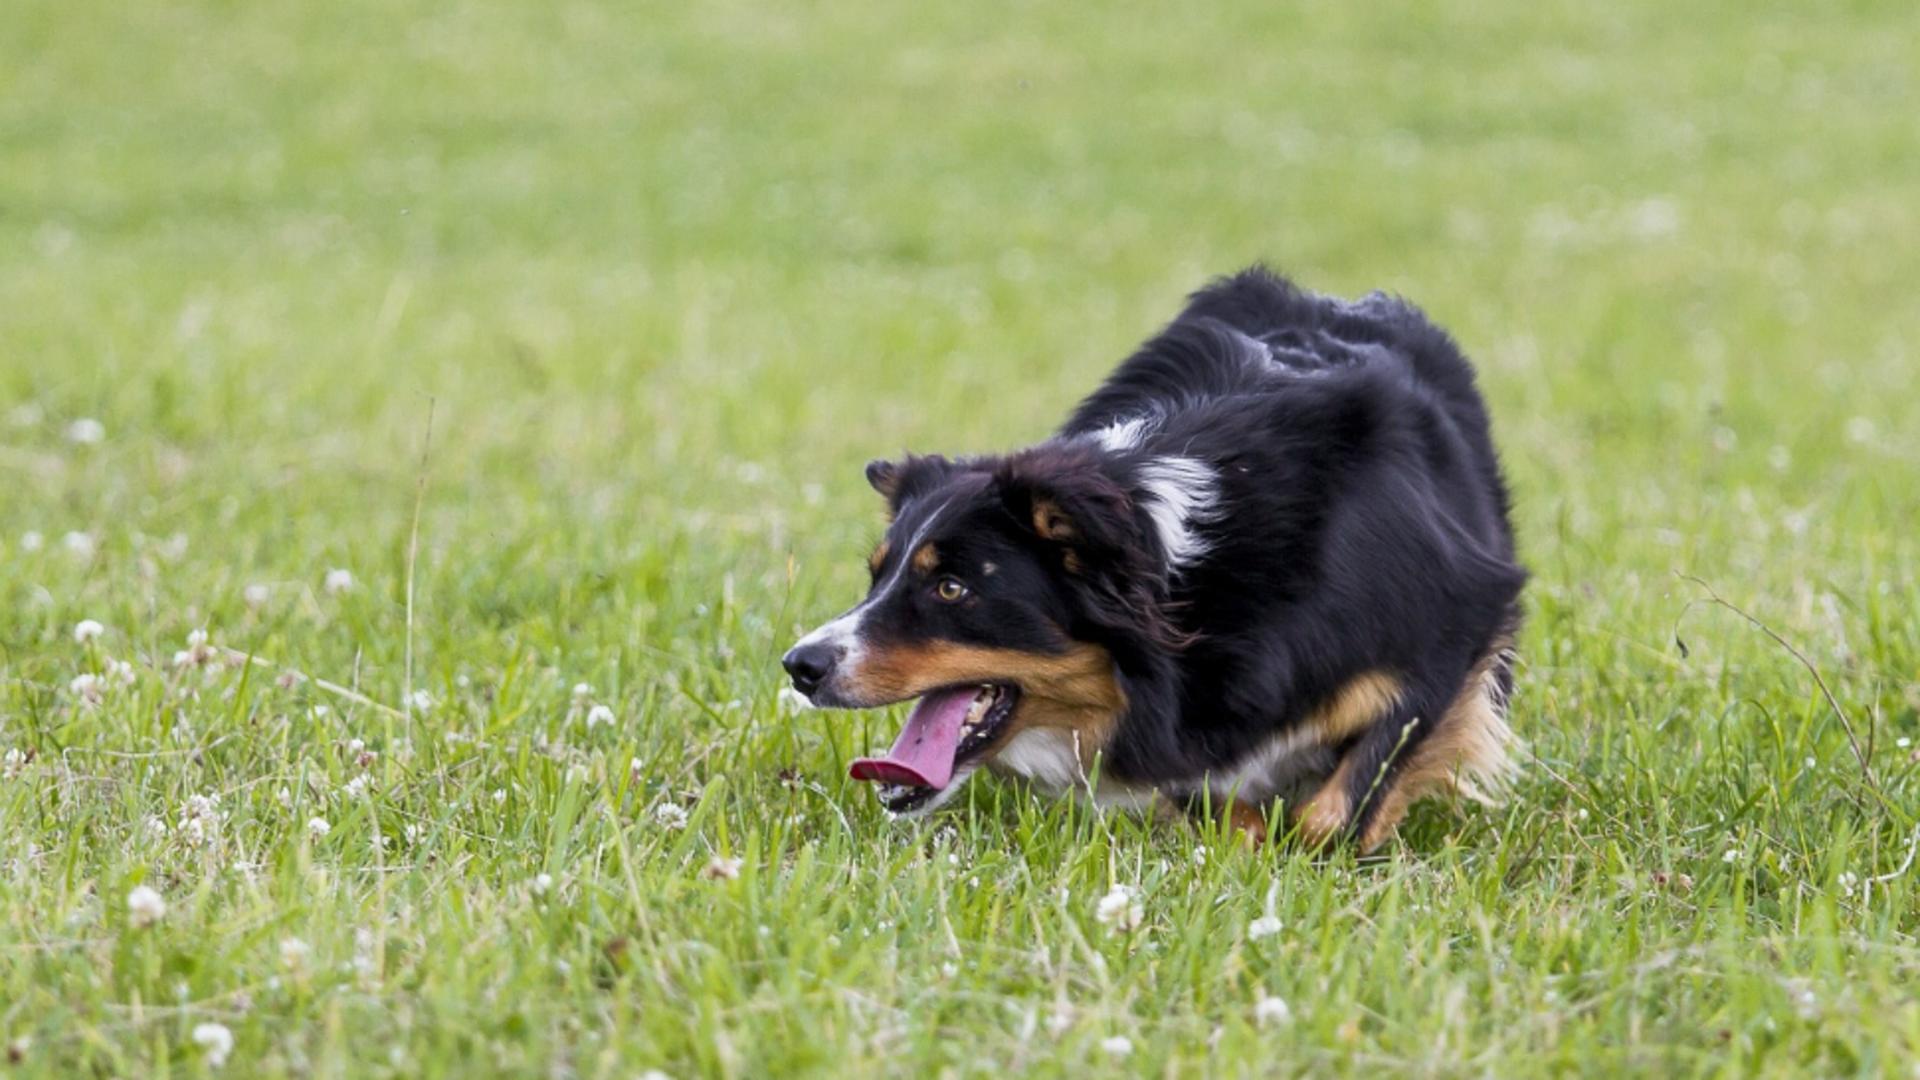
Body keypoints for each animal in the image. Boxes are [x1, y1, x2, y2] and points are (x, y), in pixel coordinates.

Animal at [783, 265, 1528, 845]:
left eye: (951, 588)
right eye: (877, 575)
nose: (799, 666)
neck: (1193, 574)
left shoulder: (1454, 620)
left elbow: (1346, 799)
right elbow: (1212, 796)